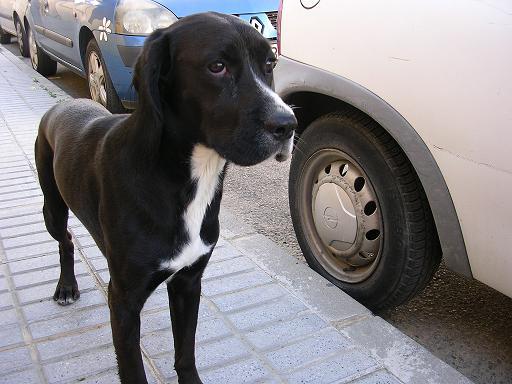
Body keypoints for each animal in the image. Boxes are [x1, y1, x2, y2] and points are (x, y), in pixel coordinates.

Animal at [35, 12, 296, 384]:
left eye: (270, 63)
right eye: (217, 66)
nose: (289, 124)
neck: (188, 178)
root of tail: (66, 103)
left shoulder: (188, 282)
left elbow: (185, 353)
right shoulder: (124, 301)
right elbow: (133, 369)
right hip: (52, 208)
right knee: (66, 239)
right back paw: (67, 286)